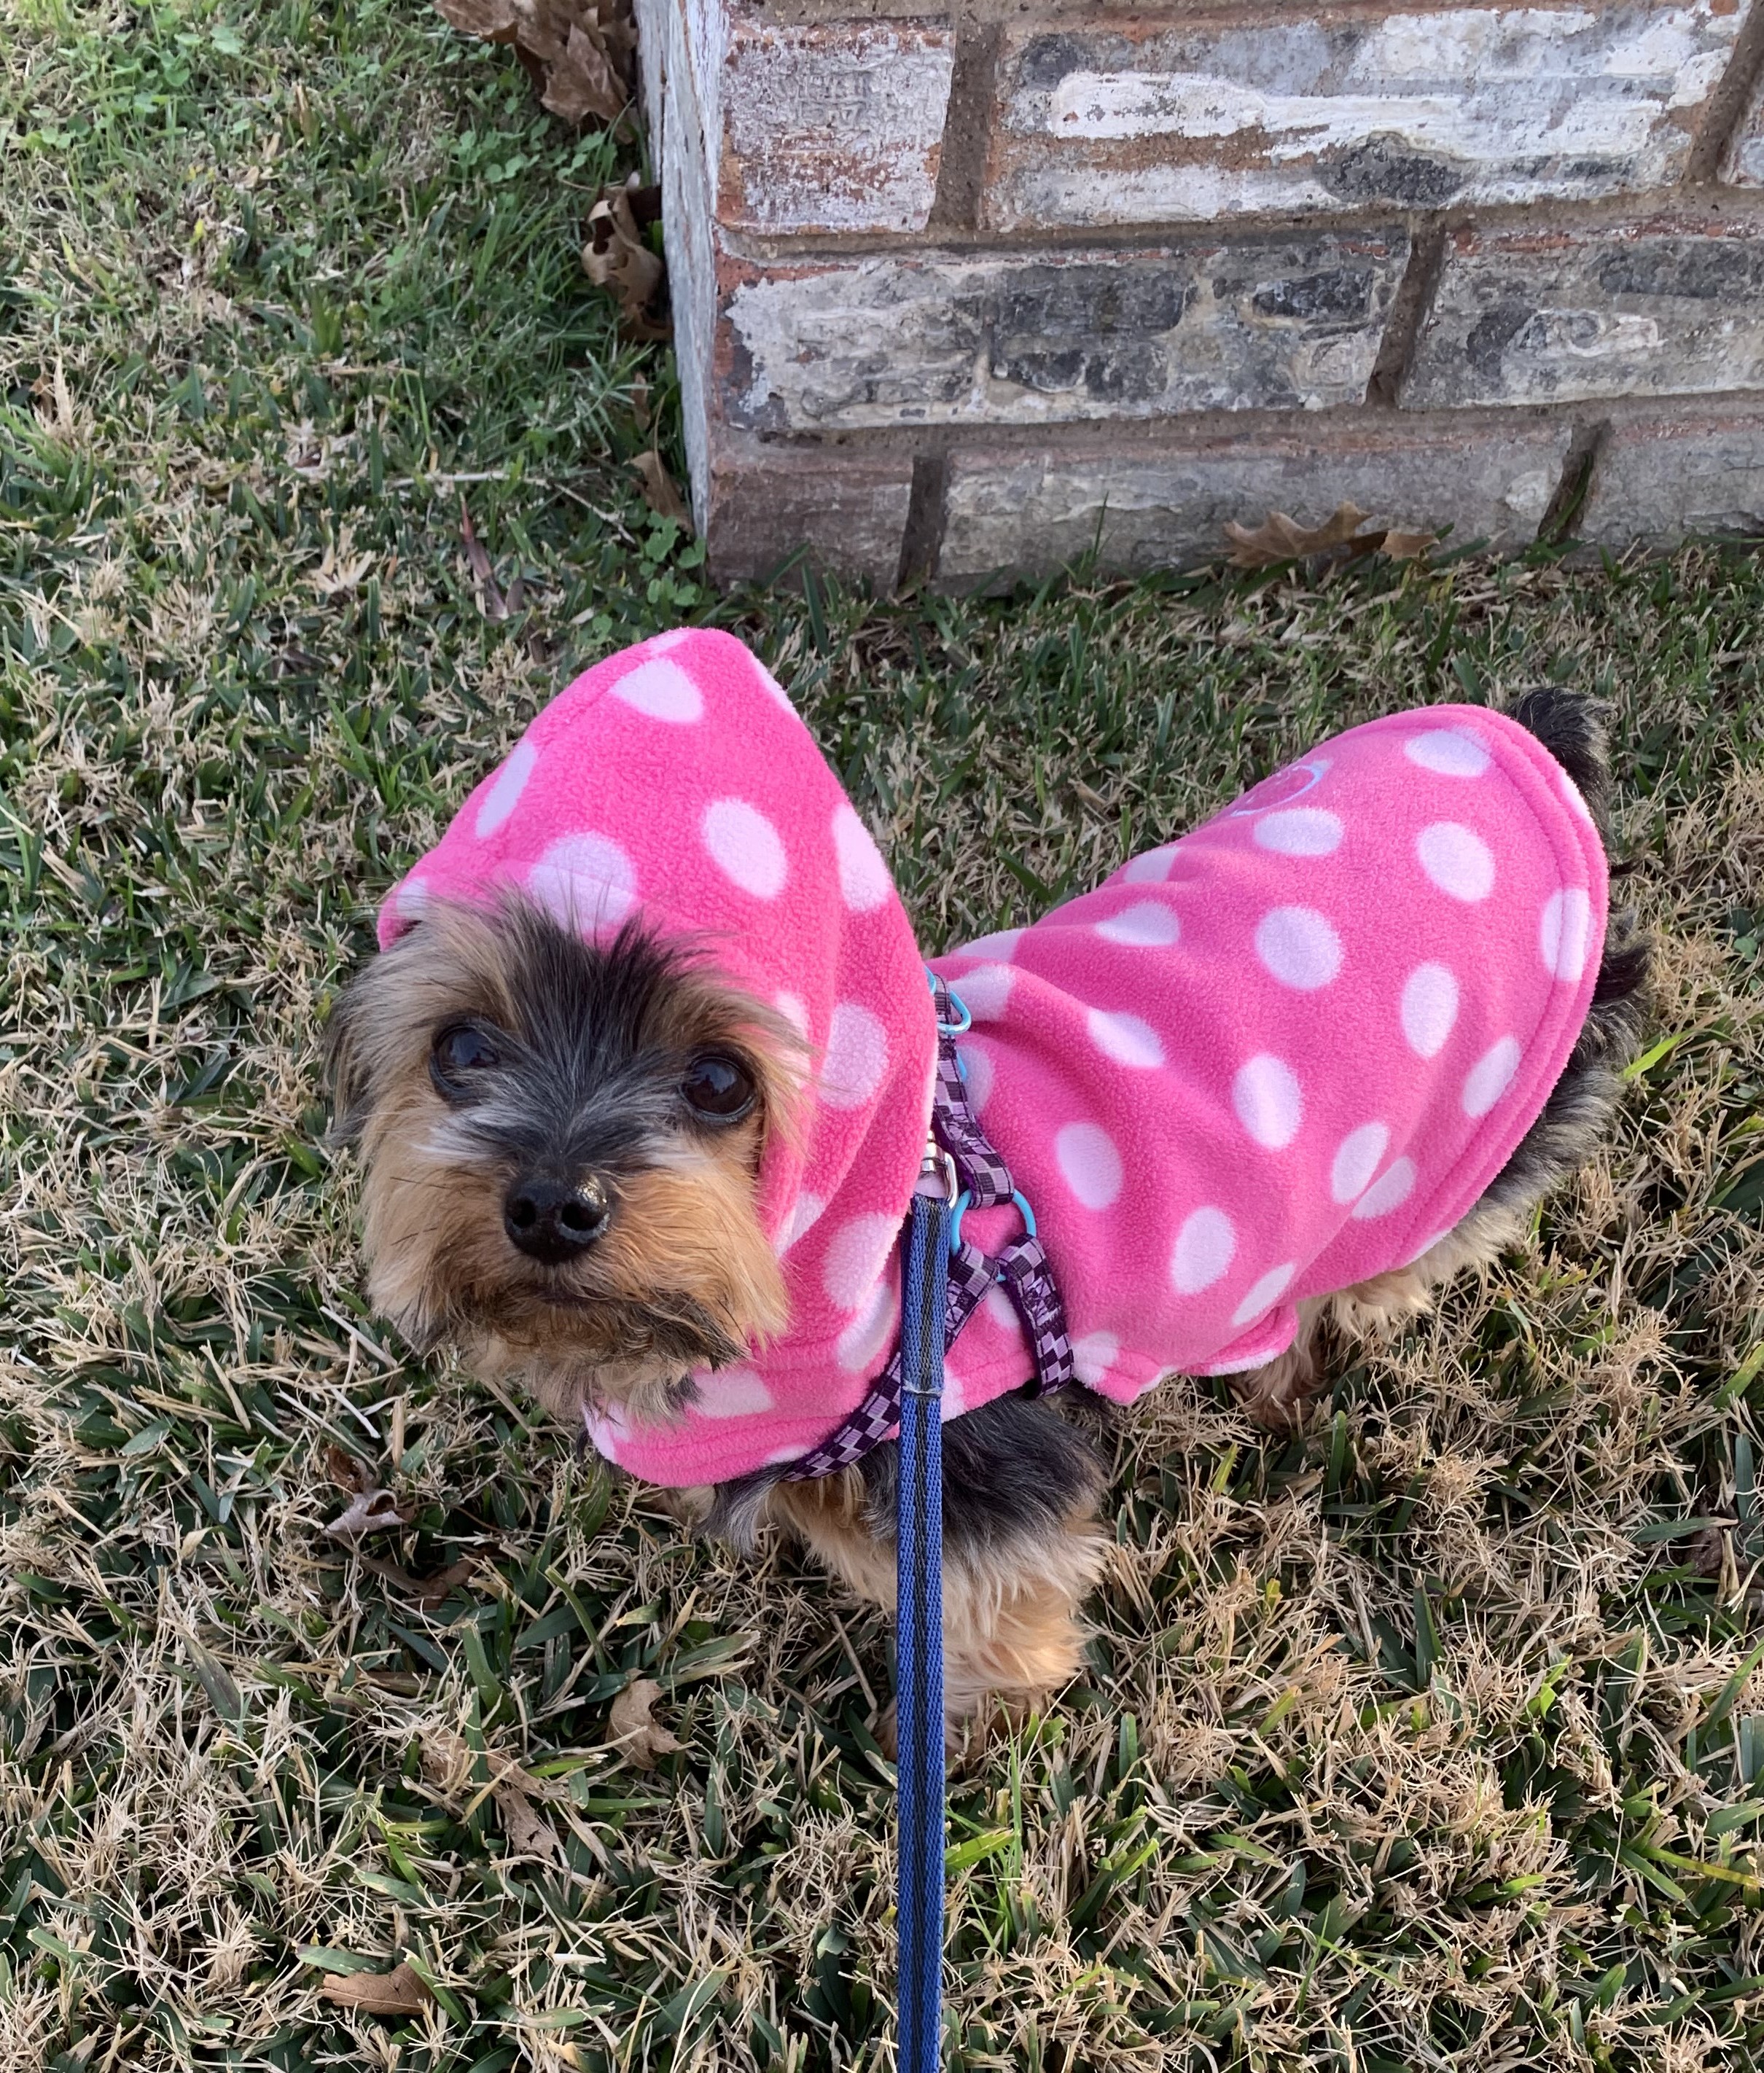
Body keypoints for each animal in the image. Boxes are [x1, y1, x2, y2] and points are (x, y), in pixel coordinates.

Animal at [328, 630, 1647, 1742]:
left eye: (717, 1079)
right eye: (460, 1049)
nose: (554, 1203)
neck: (887, 1249)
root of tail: (1524, 747)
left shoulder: (969, 1454)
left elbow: (996, 1595)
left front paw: (986, 1709)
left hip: (1477, 1128)